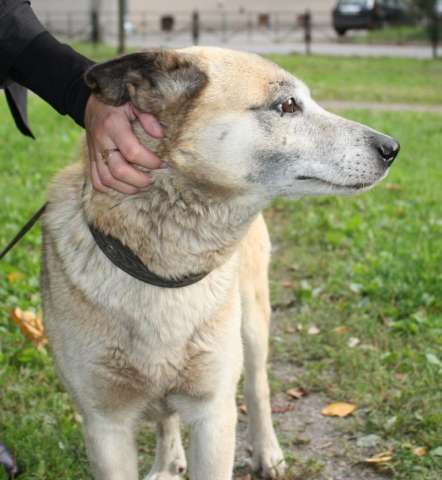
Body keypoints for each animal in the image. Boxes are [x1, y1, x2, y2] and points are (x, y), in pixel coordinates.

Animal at [42, 46, 400, 480]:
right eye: (287, 104)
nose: (392, 147)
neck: (162, 272)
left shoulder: (213, 415)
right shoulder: (104, 425)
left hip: (252, 326)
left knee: (258, 389)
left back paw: (268, 454)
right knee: (166, 414)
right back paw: (167, 462)